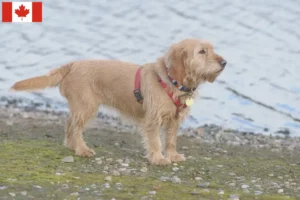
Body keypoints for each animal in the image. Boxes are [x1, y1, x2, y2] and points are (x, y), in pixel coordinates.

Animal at [9, 38, 227, 165]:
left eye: (212, 49)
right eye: (202, 51)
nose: (224, 62)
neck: (171, 81)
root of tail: (73, 64)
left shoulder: (174, 121)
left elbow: (171, 140)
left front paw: (172, 156)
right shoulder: (152, 120)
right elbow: (156, 141)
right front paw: (158, 158)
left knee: (69, 123)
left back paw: (72, 146)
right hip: (87, 107)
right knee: (74, 127)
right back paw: (81, 149)